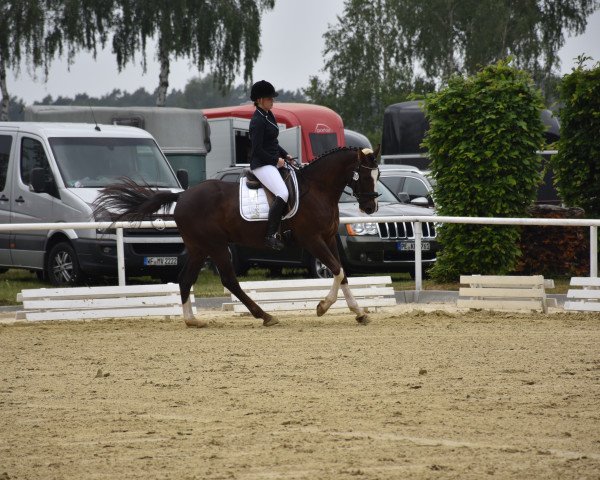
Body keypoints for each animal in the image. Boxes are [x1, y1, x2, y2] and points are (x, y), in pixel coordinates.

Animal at [96, 145, 382, 326]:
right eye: (363, 174)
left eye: (378, 174)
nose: (370, 208)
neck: (318, 189)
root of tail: (183, 195)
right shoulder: (312, 239)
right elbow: (337, 270)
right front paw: (323, 306)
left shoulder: (329, 238)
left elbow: (341, 273)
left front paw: (359, 313)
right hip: (217, 246)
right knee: (229, 280)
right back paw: (265, 316)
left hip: (199, 248)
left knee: (185, 279)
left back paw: (192, 320)